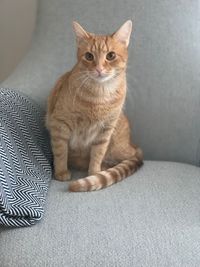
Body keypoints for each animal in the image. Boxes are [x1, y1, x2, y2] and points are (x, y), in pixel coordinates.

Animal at [46, 20, 143, 193]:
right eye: (89, 56)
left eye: (110, 56)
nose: (99, 69)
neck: (99, 96)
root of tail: (132, 144)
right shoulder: (60, 123)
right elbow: (60, 151)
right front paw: (61, 172)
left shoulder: (106, 130)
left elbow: (97, 154)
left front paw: (94, 173)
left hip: (118, 146)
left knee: (130, 157)